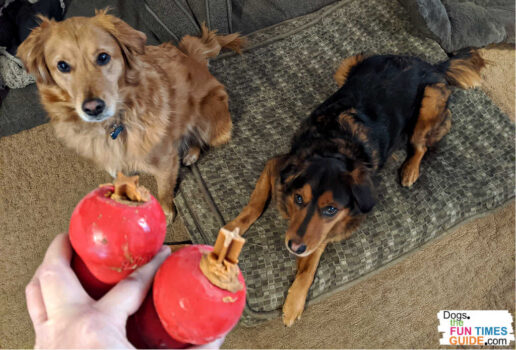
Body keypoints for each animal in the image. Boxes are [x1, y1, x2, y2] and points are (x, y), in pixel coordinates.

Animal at [19, 10, 245, 219]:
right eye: (62, 66)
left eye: (103, 57)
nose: (93, 107)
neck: (116, 123)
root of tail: (195, 59)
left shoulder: (166, 162)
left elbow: (164, 191)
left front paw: (166, 213)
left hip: (210, 123)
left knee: (200, 137)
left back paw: (191, 152)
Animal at [225, 49, 484, 326]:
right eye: (298, 199)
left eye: (330, 209)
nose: (294, 247)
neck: (334, 147)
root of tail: (431, 64)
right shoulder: (276, 164)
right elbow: (254, 204)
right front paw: (232, 229)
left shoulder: (326, 228)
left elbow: (309, 266)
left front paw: (294, 302)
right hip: (349, 65)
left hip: (429, 103)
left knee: (420, 145)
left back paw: (410, 170)